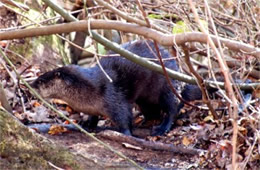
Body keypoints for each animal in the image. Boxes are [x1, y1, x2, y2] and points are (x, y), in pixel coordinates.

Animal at [30, 39, 197, 135]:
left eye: (40, 81)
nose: (30, 86)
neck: (89, 91)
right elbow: (93, 116)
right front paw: (88, 124)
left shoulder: (114, 98)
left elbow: (124, 118)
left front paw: (126, 134)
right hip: (145, 99)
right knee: (152, 111)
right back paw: (144, 121)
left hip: (168, 86)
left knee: (172, 108)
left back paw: (161, 129)